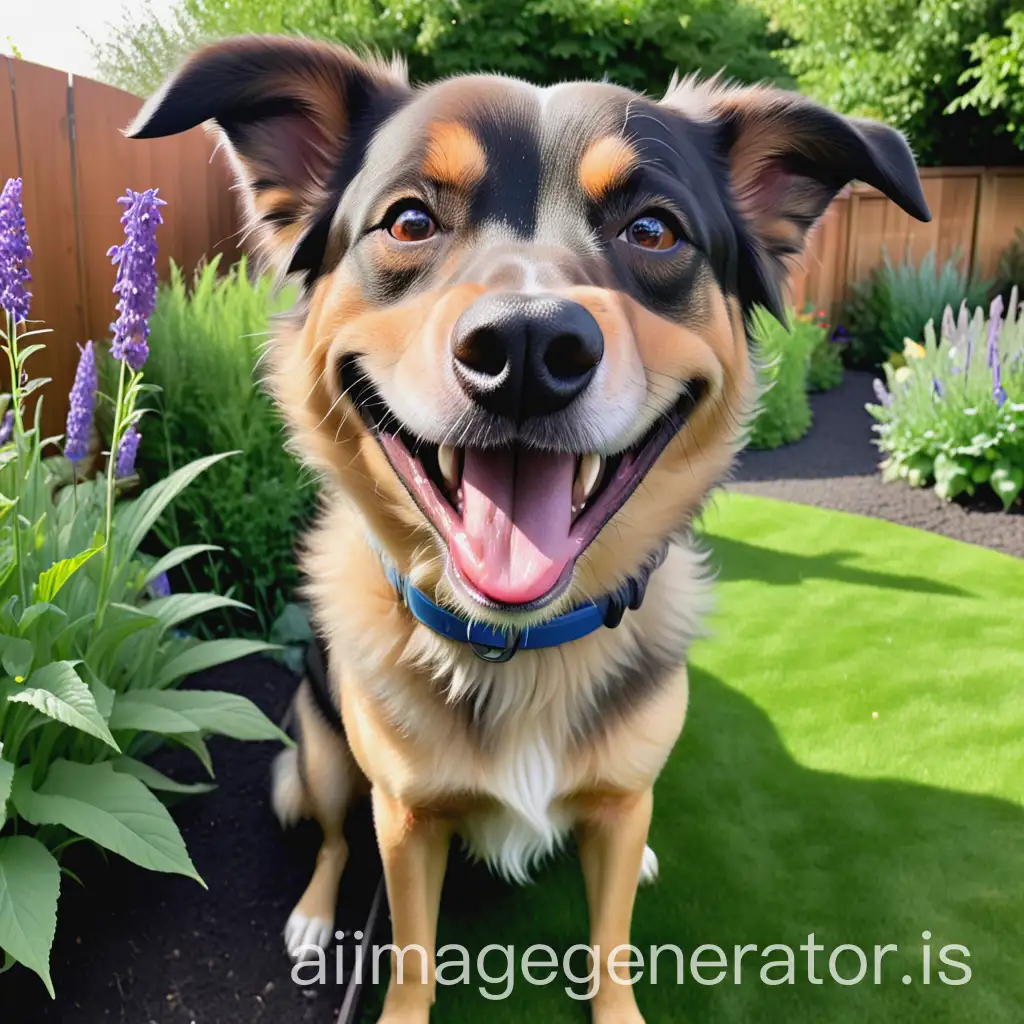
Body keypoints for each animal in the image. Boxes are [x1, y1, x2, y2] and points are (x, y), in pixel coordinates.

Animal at [130, 36, 929, 1019]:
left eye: (654, 231)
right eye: (407, 221)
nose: (525, 351)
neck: (523, 650)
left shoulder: (620, 805)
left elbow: (613, 937)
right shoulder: (403, 819)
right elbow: (409, 947)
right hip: (318, 751)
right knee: (331, 838)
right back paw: (316, 916)